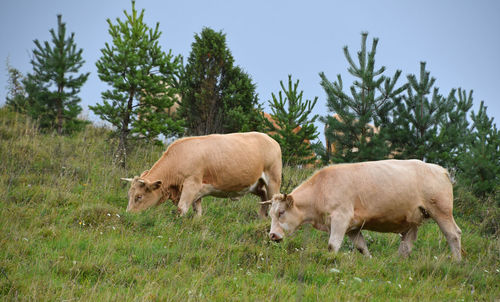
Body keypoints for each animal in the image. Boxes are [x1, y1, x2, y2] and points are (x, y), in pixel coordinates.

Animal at [121, 132, 282, 217]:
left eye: (139, 196)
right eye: (129, 195)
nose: (128, 215)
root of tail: (270, 139)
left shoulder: (191, 184)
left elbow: (181, 209)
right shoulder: (197, 190)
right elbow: (197, 210)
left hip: (273, 180)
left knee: (273, 201)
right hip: (256, 185)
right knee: (264, 197)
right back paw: (261, 217)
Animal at [264, 159, 462, 260]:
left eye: (281, 213)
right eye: (271, 214)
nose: (272, 235)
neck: (321, 188)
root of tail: (439, 169)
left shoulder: (340, 218)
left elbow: (332, 245)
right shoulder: (352, 227)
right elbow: (361, 247)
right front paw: (369, 261)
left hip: (441, 211)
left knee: (453, 234)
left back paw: (457, 261)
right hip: (412, 219)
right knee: (407, 243)